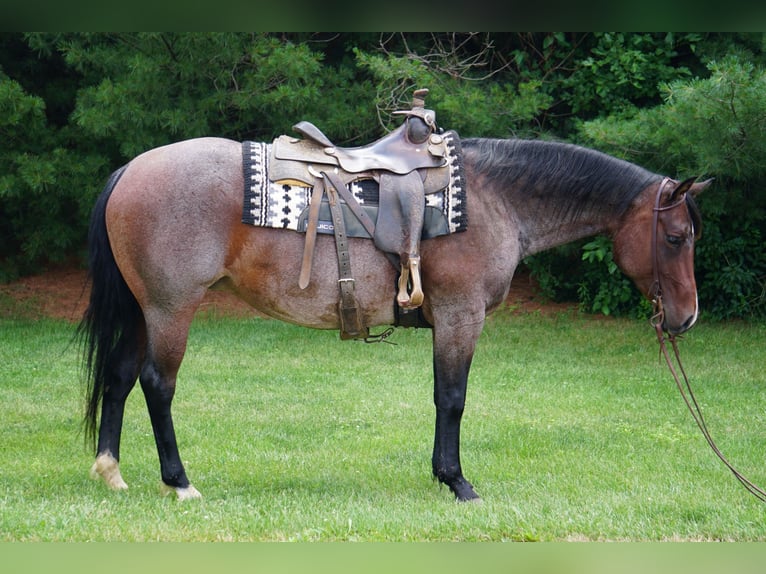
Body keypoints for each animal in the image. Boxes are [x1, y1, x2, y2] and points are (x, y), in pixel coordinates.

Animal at [79, 135, 709, 501]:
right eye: (676, 237)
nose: (686, 318)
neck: (493, 199)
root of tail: (130, 169)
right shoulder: (460, 317)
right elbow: (452, 398)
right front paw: (457, 482)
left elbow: (440, 397)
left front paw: (442, 474)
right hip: (171, 307)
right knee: (157, 385)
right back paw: (180, 482)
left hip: (144, 310)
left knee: (119, 377)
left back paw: (111, 471)